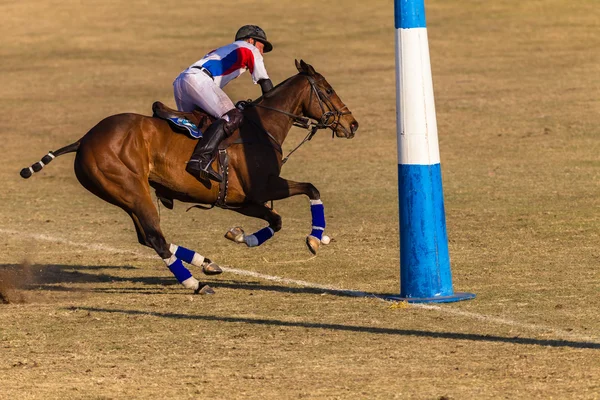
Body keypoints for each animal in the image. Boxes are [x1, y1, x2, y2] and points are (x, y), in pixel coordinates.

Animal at [18, 61, 358, 296]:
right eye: (328, 90)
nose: (352, 125)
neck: (263, 127)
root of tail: (83, 140)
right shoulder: (264, 187)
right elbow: (311, 190)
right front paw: (315, 238)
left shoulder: (241, 200)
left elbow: (275, 220)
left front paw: (239, 235)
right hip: (132, 190)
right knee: (155, 238)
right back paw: (195, 284)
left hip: (125, 195)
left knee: (148, 237)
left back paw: (206, 263)